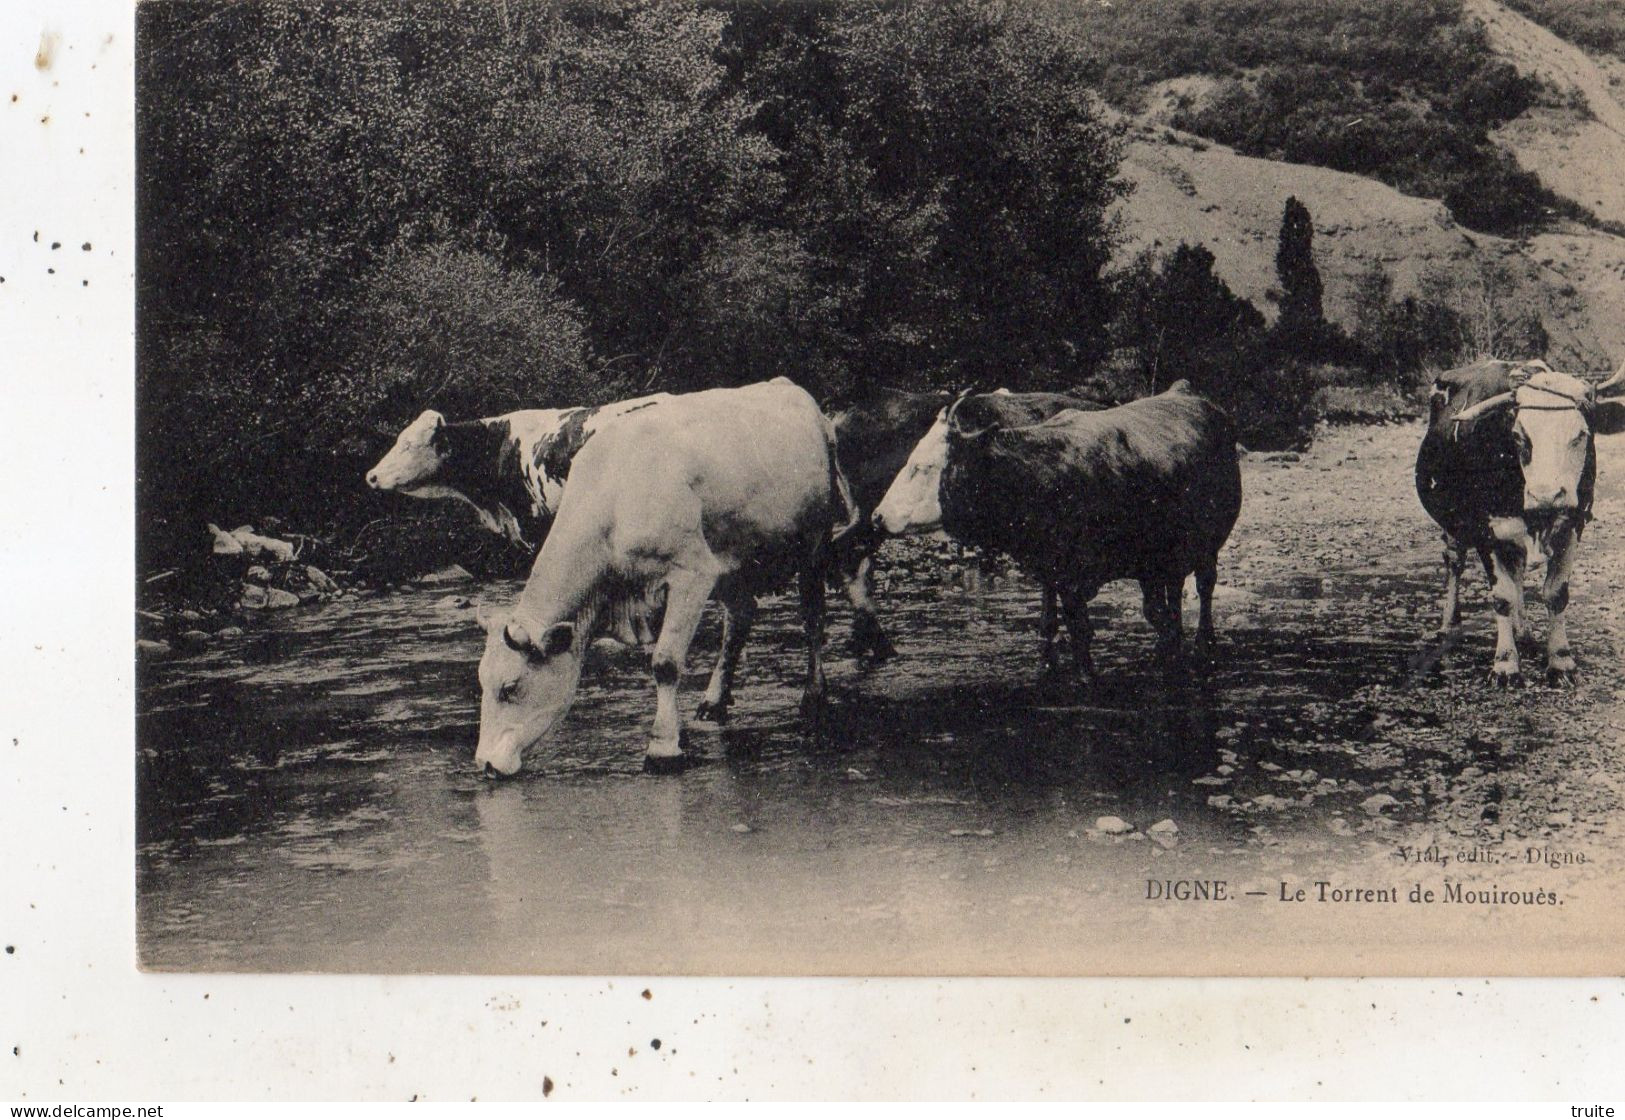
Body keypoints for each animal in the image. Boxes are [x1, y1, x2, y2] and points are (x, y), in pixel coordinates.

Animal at [474, 380, 858, 773]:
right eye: (483, 684)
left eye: (510, 687)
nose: (485, 763)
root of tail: (787, 386)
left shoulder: (692, 573)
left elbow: (665, 662)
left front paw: (663, 746)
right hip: (728, 558)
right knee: (740, 617)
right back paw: (715, 700)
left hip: (813, 541)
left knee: (813, 615)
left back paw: (814, 694)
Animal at [877, 380, 1241, 676]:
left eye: (924, 467)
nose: (877, 516)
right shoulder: (1055, 573)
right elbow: (1055, 625)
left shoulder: (1076, 579)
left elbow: (1082, 633)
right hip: (1165, 559)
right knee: (1170, 598)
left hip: (1208, 544)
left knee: (1204, 588)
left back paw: (1204, 644)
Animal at [1417, 362, 1618, 685]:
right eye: (1519, 437)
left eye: (1581, 435)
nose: (1546, 496)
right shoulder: (1487, 531)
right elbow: (1502, 596)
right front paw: (1505, 664)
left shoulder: (1573, 525)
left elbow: (1556, 593)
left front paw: (1561, 661)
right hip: (1452, 523)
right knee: (1454, 561)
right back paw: (1448, 624)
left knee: (1518, 570)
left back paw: (1522, 630)